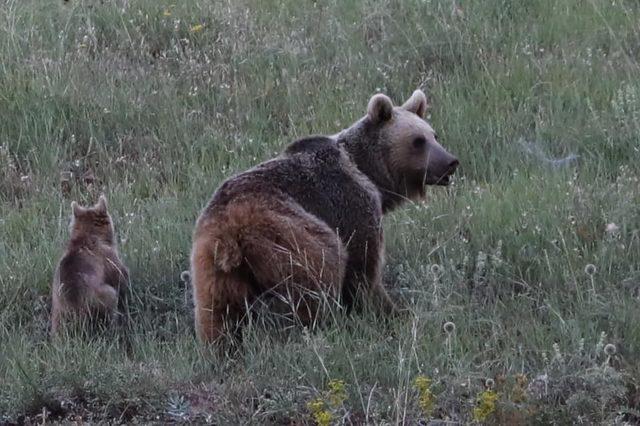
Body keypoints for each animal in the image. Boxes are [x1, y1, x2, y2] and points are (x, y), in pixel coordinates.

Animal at [191, 90, 460, 342]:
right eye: (418, 140)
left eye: (434, 135)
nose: (450, 161)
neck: (369, 173)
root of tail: (230, 228)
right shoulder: (350, 204)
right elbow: (363, 267)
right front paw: (391, 311)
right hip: (288, 232)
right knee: (321, 275)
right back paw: (324, 324)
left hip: (211, 265)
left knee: (219, 312)